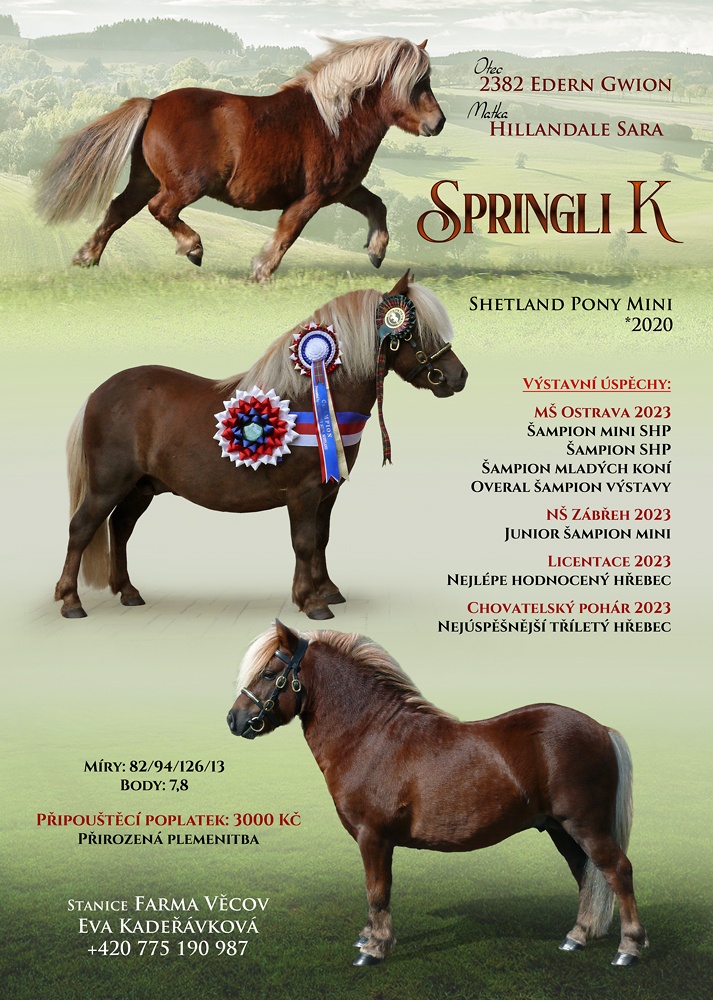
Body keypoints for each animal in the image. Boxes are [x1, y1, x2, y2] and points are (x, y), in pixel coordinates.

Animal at [36, 37, 445, 282]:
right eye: (416, 84)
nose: (437, 123)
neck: (335, 120)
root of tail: (152, 103)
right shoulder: (312, 196)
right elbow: (288, 232)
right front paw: (261, 271)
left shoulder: (345, 189)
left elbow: (378, 206)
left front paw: (376, 252)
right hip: (184, 185)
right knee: (160, 209)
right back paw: (193, 248)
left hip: (145, 178)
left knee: (118, 210)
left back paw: (86, 258)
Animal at [55, 273, 467, 620]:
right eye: (415, 331)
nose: (458, 376)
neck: (313, 397)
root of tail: (98, 393)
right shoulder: (303, 492)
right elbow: (304, 542)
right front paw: (311, 601)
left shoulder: (328, 490)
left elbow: (322, 539)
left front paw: (328, 590)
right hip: (108, 485)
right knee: (82, 528)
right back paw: (71, 602)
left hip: (141, 487)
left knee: (120, 528)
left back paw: (128, 592)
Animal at [227, 621, 648, 969]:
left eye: (269, 673)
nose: (234, 719)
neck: (368, 736)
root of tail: (601, 729)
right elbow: (372, 891)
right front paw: (368, 937)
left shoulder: (373, 837)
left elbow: (377, 891)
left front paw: (374, 948)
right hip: (561, 828)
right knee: (584, 874)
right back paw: (577, 937)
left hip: (586, 826)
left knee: (618, 871)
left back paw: (628, 948)